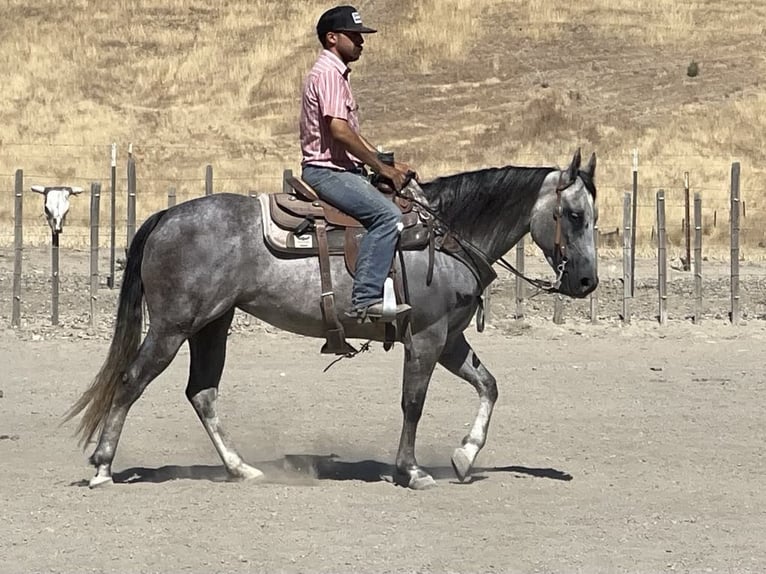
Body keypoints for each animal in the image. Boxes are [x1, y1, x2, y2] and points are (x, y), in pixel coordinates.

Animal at [66, 149, 599, 490]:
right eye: (574, 215)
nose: (587, 281)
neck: (444, 235)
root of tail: (166, 216)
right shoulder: (426, 338)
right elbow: (413, 403)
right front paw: (412, 471)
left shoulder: (449, 339)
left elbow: (489, 386)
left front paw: (465, 456)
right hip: (173, 327)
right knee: (132, 381)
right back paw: (103, 467)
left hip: (210, 326)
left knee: (202, 393)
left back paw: (241, 469)